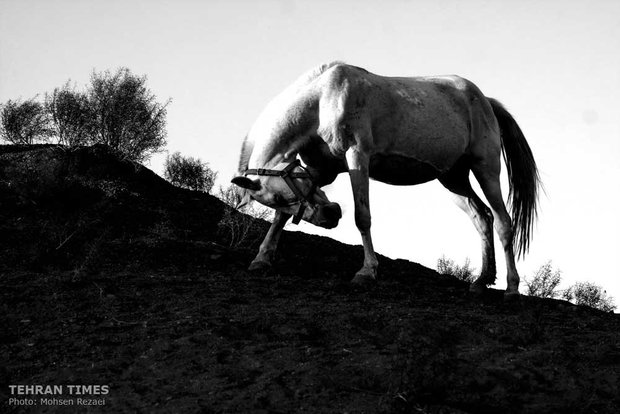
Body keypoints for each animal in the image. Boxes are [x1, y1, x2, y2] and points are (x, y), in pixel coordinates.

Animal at [232, 61, 536, 296]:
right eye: (277, 198)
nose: (331, 215)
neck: (323, 100)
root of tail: (485, 101)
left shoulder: (357, 157)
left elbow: (362, 217)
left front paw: (367, 272)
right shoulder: (321, 170)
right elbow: (281, 219)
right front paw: (261, 259)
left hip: (486, 169)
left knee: (503, 221)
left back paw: (511, 288)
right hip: (453, 179)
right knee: (482, 218)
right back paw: (481, 281)